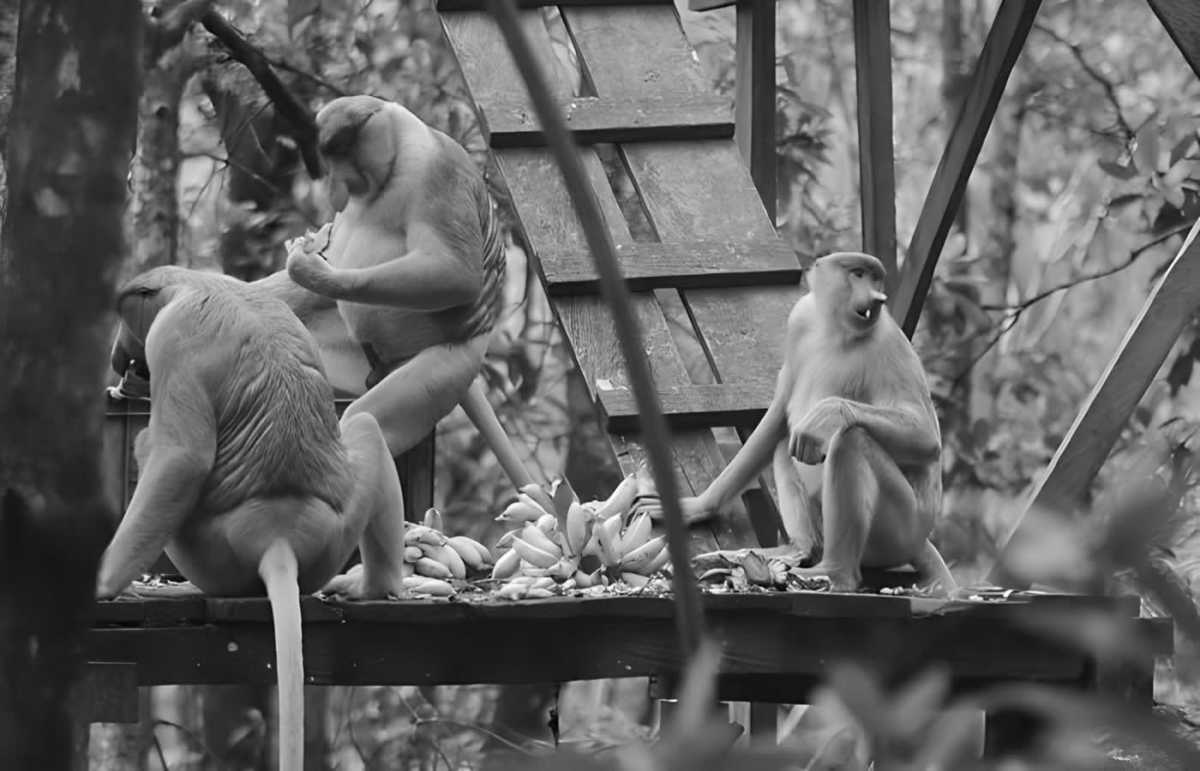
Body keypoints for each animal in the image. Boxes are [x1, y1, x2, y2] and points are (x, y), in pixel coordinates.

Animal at [97, 266, 409, 771]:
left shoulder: (171, 335)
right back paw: (374, 588)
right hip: (335, 531)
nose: (121, 357)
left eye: (127, 319)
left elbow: (182, 458)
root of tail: (277, 536)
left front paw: (102, 583)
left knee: (153, 448)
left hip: (207, 552)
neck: (195, 282)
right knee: (364, 427)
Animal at [255, 94, 535, 491]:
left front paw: (310, 268)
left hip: (448, 362)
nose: (336, 190)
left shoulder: (437, 173)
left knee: (369, 419)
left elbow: (455, 273)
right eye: (330, 157)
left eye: (345, 150)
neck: (399, 151)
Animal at [680, 252, 956, 592]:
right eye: (859, 274)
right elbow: (779, 413)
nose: (877, 299)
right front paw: (698, 507)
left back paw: (835, 573)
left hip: (903, 526)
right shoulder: (800, 318)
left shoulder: (888, 343)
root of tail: (921, 539)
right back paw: (795, 549)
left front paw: (829, 414)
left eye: (876, 278)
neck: (836, 331)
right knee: (786, 441)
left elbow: (926, 436)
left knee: (851, 440)